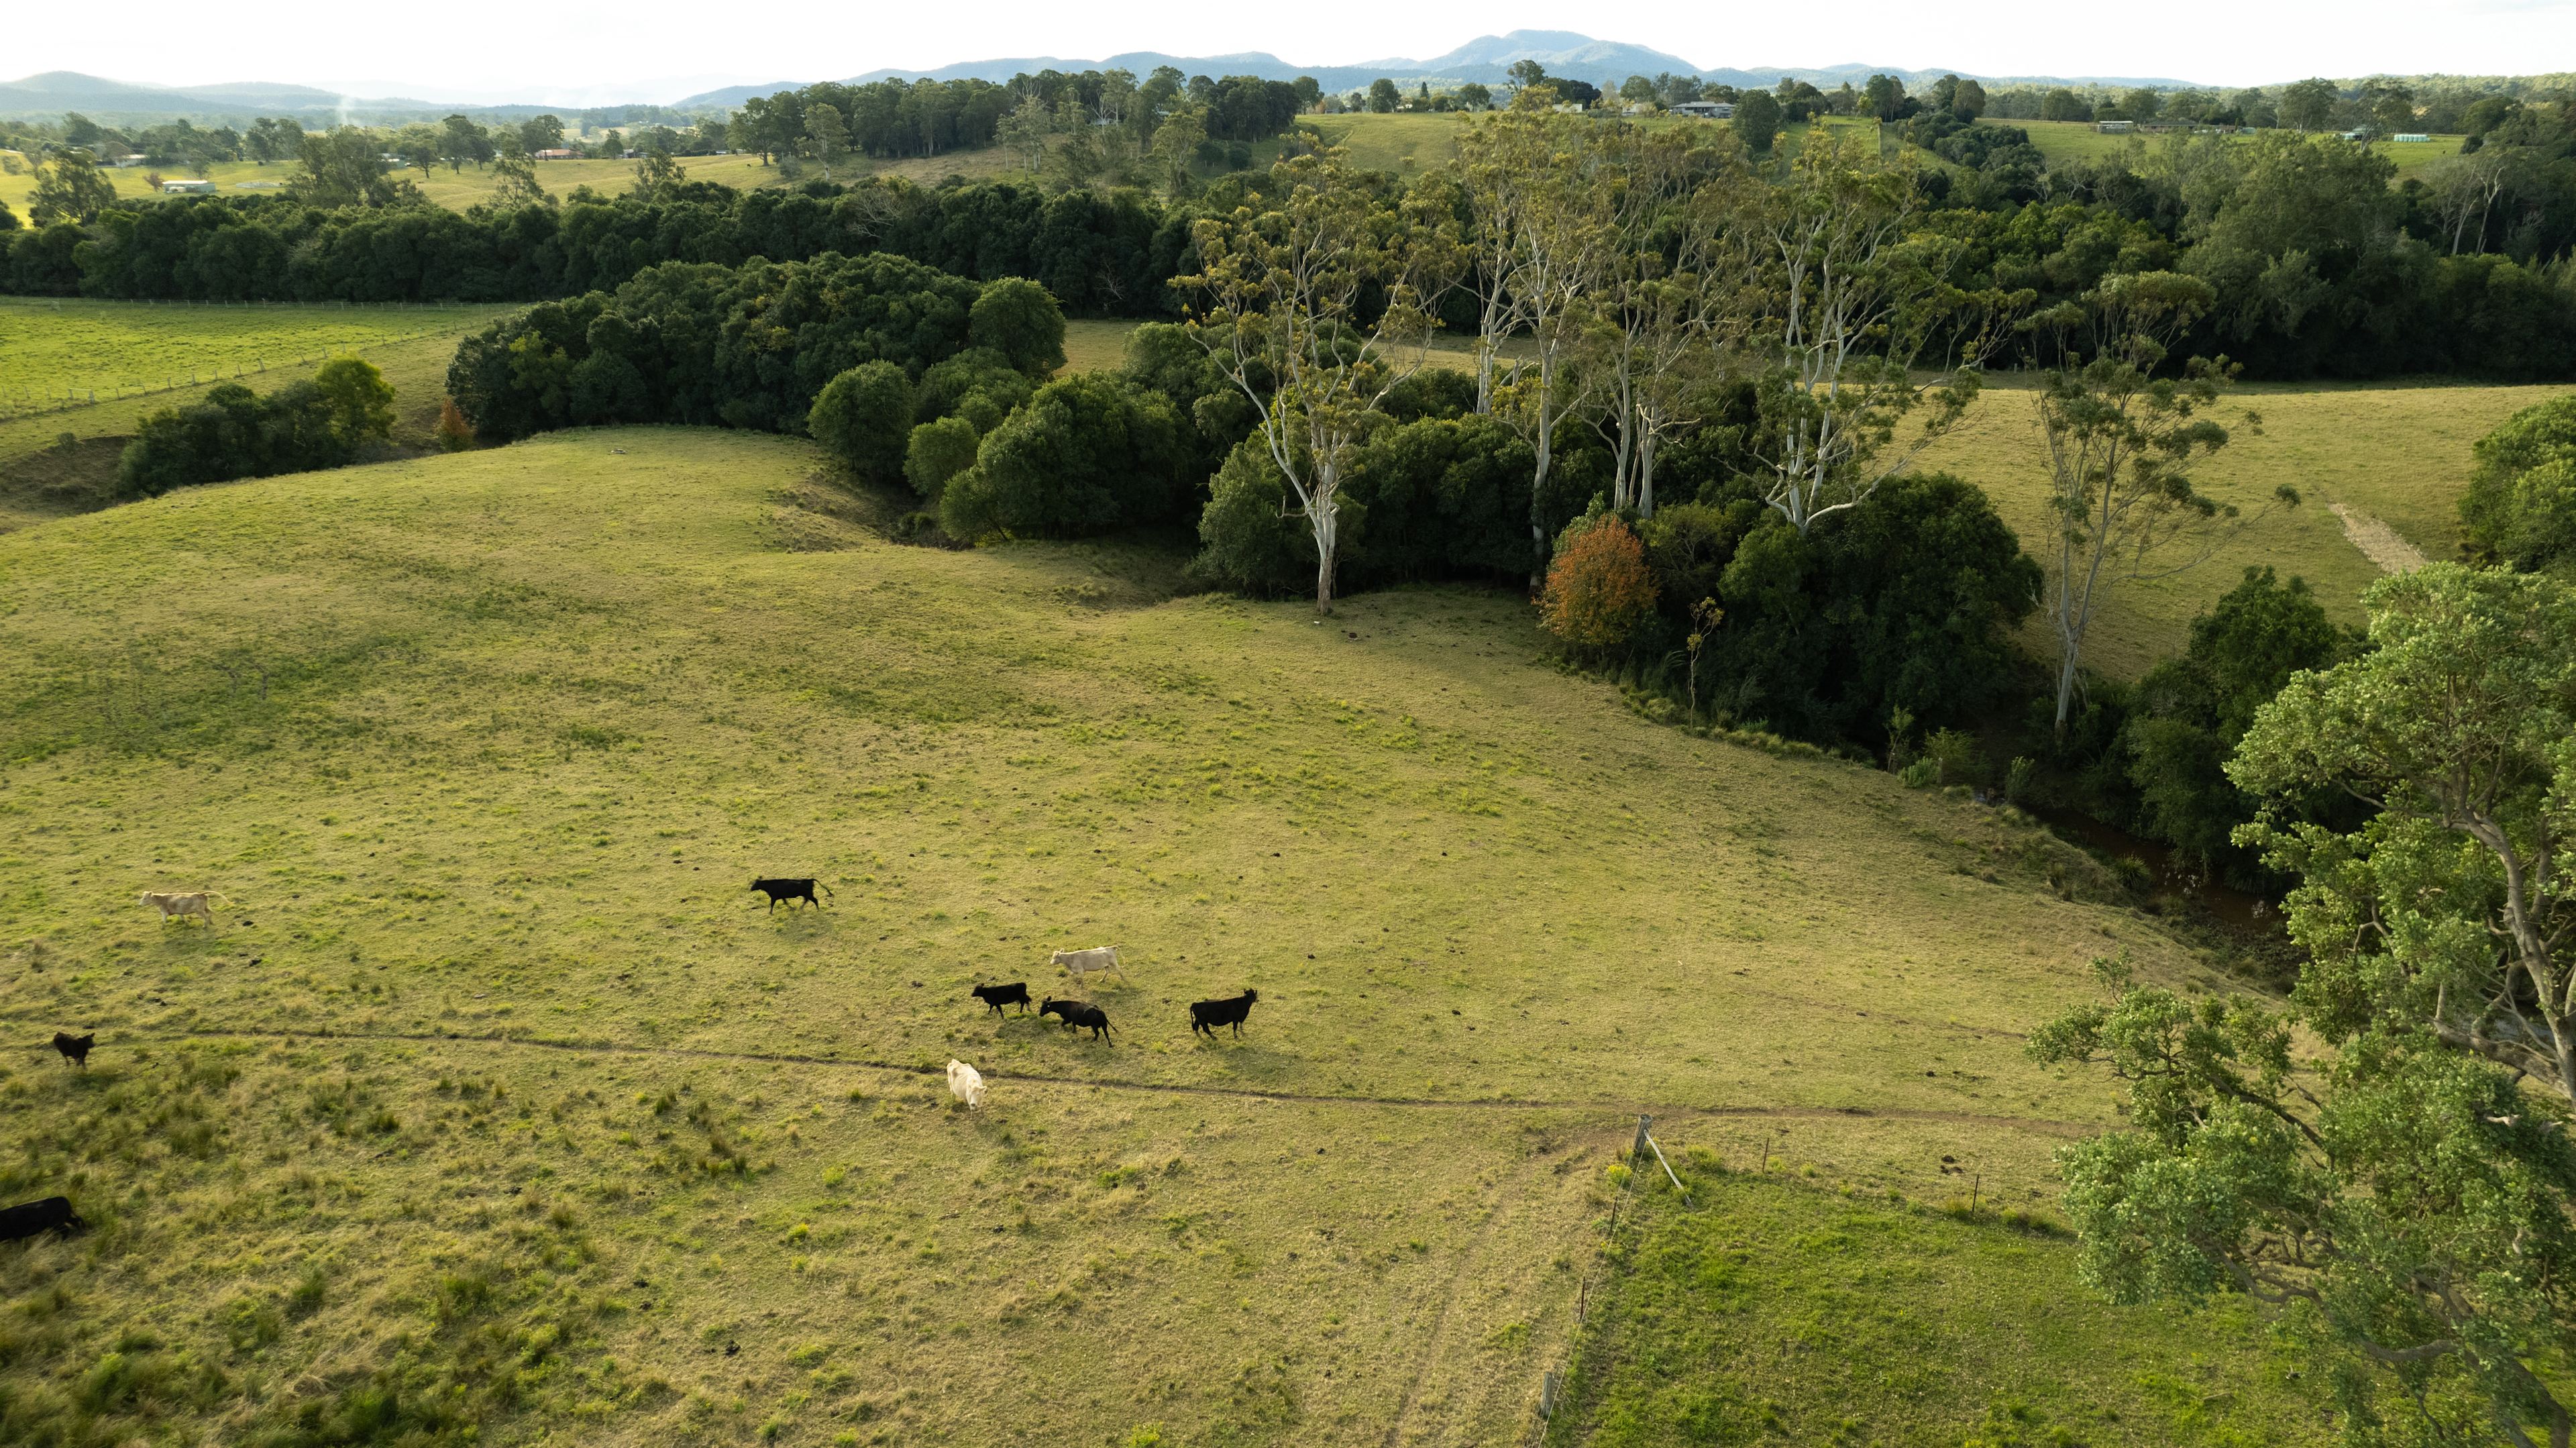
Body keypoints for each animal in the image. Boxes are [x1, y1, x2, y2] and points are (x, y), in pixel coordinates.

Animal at [141, 890, 230, 926]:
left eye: (145, 898)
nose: (139, 904)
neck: (161, 899)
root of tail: (199, 894)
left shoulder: (164, 913)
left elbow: (164, 921)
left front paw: (163, 928)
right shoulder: (180, 912)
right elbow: (183, 918)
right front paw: (187, 924)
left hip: (200, 911)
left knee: (206, 917)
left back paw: (205, 926)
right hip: (206, 907)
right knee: (211, 913)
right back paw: (211, 923)